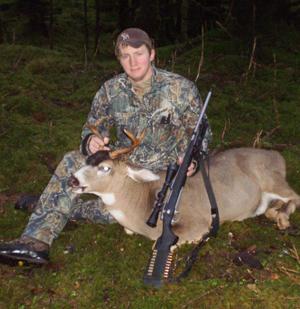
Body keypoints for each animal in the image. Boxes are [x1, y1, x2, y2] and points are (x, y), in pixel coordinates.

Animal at [67, 125, 300, 245]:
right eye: (87, 160)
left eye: (105, 168)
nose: (73, 180)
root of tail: (278, 156)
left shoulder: (198, 221)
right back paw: (274, 212)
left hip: (272, 178)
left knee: (295, 195)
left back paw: (282, 218)